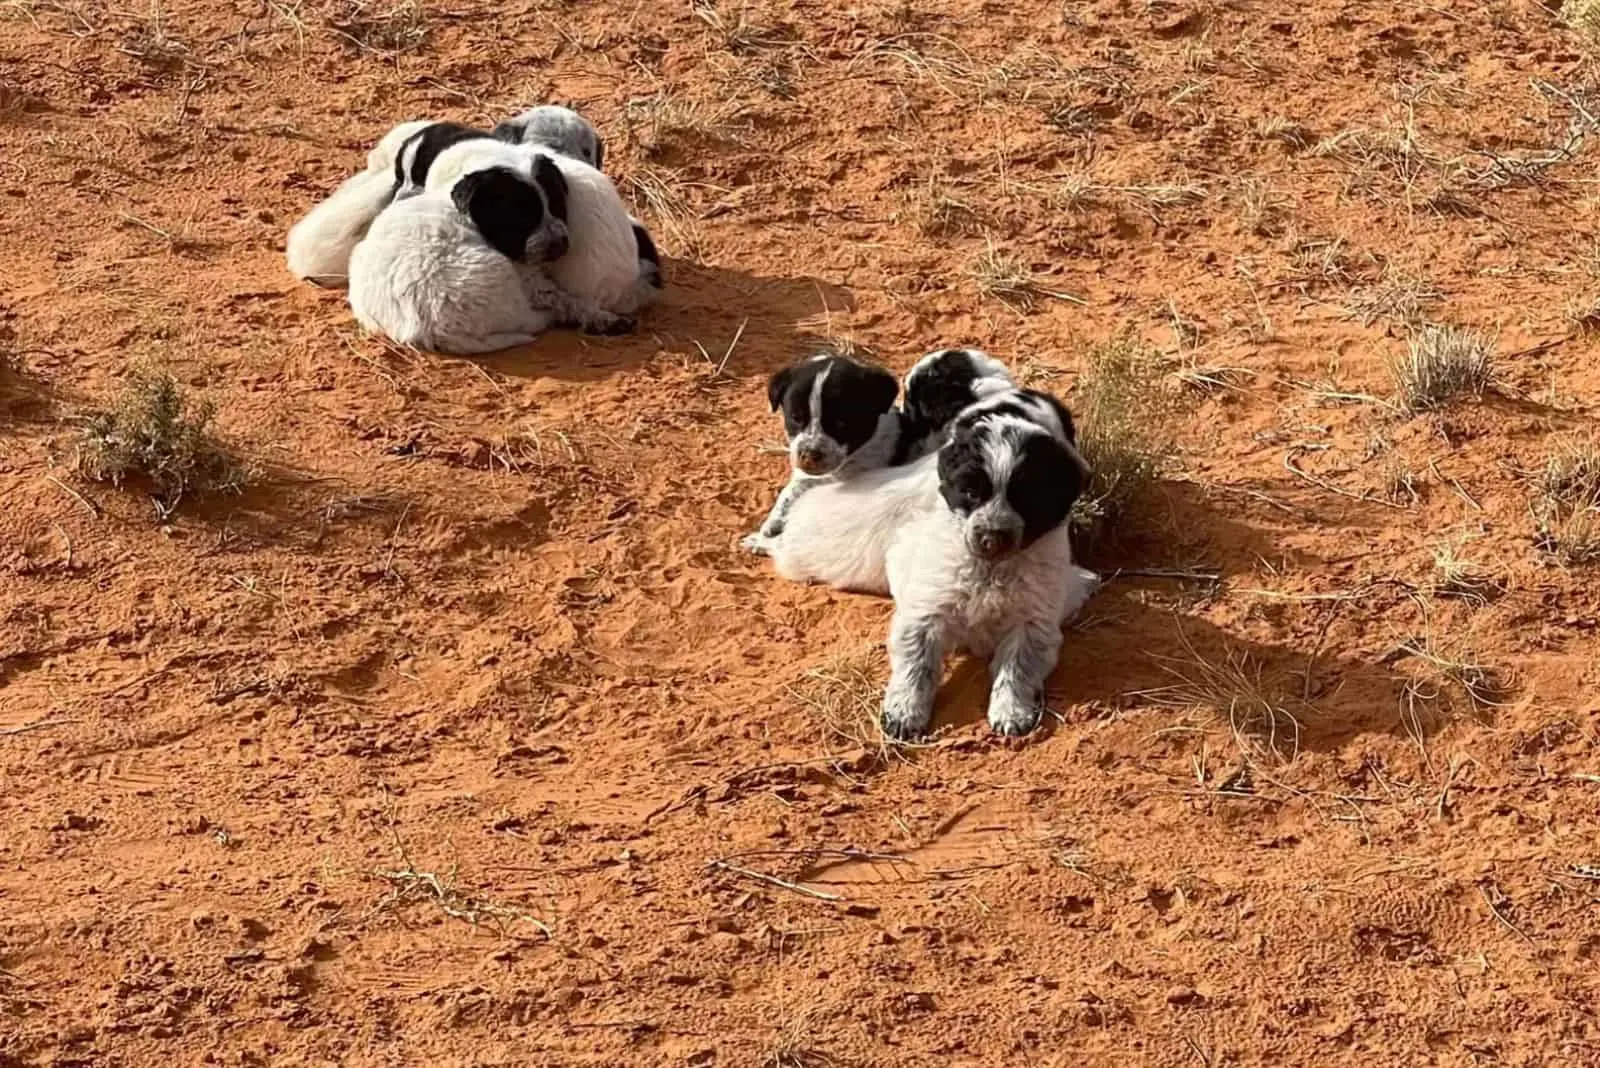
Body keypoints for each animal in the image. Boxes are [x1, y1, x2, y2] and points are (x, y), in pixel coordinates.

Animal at [344, 135, 576, 354]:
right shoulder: (523, 269)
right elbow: (548, 290)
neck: (466, 211)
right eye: (520, 216)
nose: (558, 245)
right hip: (502, 276)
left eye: (558, 204)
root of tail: (432, 331)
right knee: (528, 319)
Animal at [876, 388, 1100, 738]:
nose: (992, 537)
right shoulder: (927, 609)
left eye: (1029, 498)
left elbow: (1017, 669)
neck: (990, 570)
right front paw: (904, 711)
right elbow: (917, 661)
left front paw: (1011, 711)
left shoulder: (1033, 623)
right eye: (970, 492)